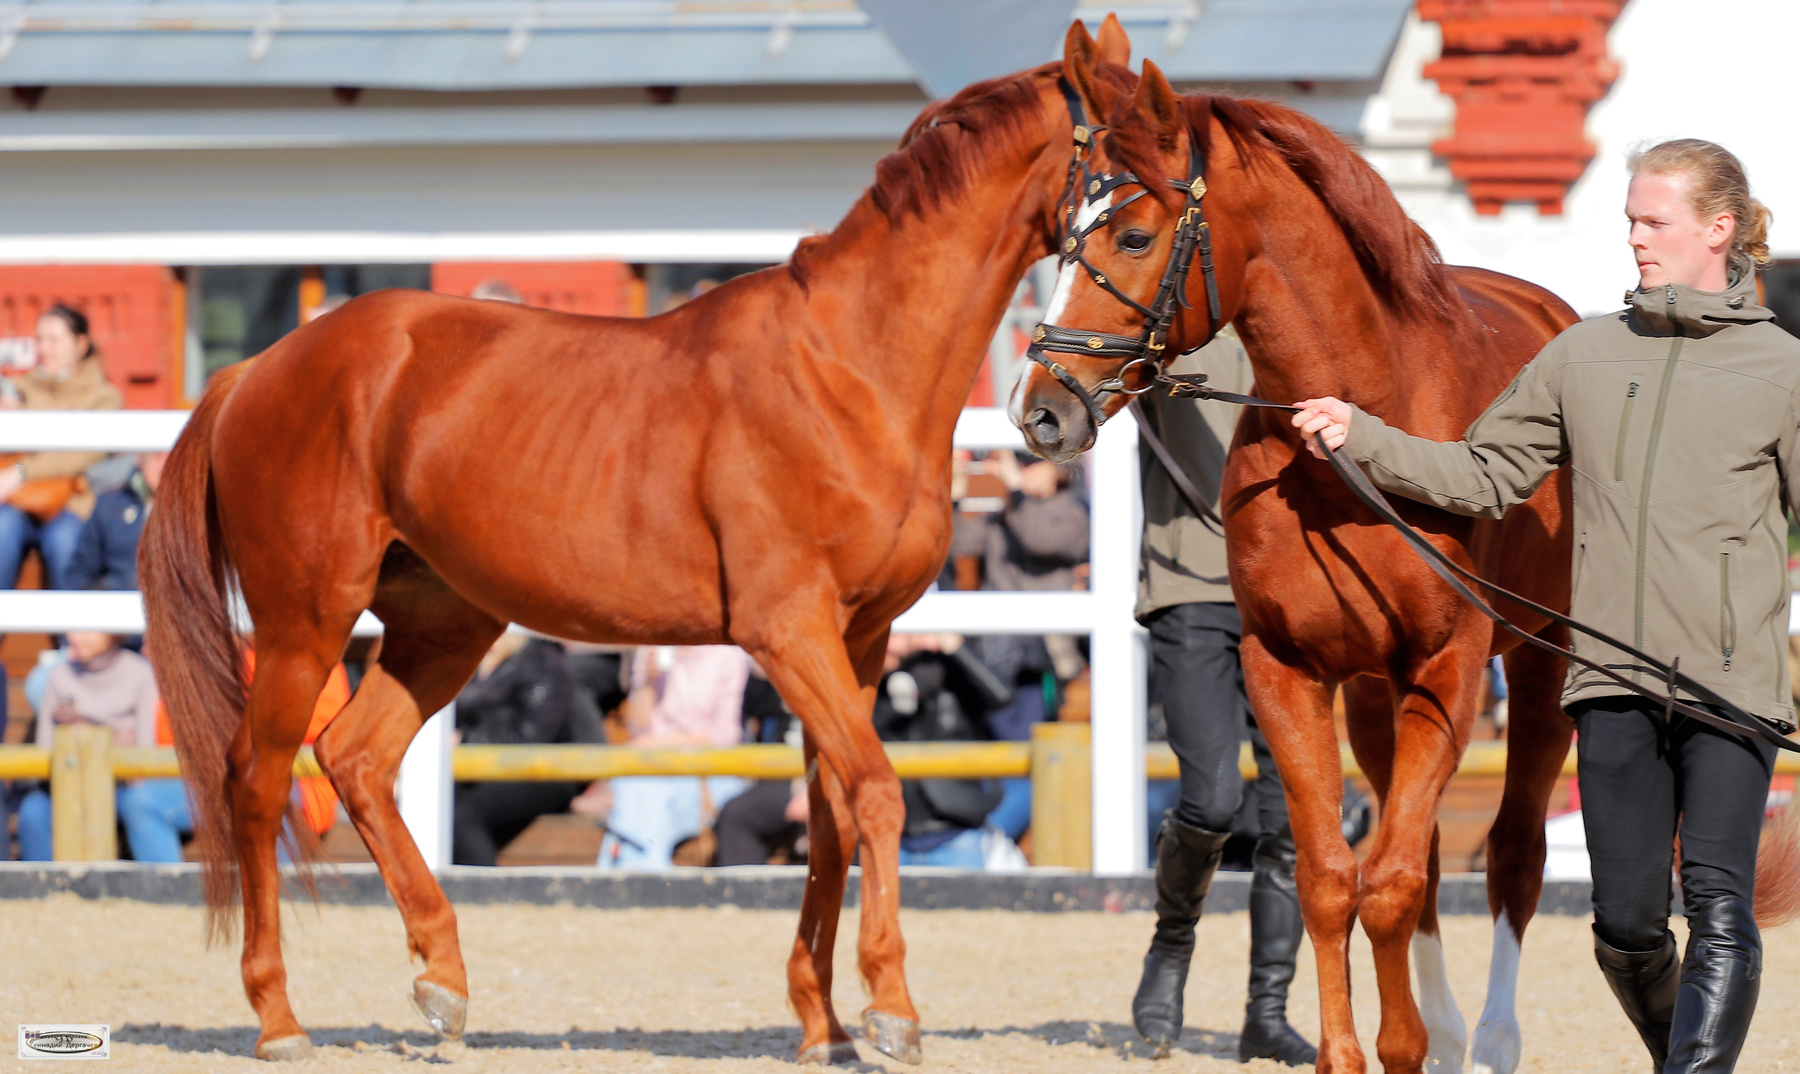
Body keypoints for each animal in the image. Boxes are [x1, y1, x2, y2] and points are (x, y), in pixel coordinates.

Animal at [138, 20, 1140, 1065]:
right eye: (1135, 179)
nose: (1060, 408)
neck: (850, 371)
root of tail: (257, 371)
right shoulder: (790, 632)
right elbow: (875, 790)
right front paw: (890, 1011)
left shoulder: (858, 640)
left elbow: (828, 810)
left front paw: (823, 1024)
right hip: (305, 622)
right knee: (257, 783)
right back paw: (280, 1019)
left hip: (443, 624)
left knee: (357, 759)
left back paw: (443, 986)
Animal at [1009, 61, 1581, 1074]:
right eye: (1067, 232)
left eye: (1133, 234)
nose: (1040, 408)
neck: (1356, 431)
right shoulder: (1289, 671)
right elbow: (1331, 877)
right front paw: (1360, 1052)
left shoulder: (1450, 670)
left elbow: (1389, 882)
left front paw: (1404, 1048)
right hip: (1375, 697)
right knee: (1424, 848)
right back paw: (1445, 1030)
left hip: (1539, 664)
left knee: (1513, 850)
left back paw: (1490, 1040)